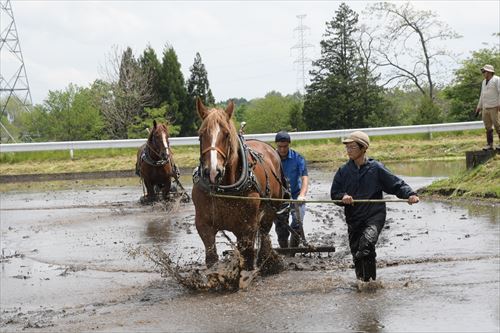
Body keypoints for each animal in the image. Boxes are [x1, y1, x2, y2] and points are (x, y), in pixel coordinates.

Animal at [191, 98, 288, 272]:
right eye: (201, 134)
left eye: (226, 134)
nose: (213, 172)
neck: (224, 190)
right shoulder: (203, 224)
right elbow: (211, 258)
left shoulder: (247, 227)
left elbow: (247, 257)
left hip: (270, 210)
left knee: (264, 232)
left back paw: (267, 262)